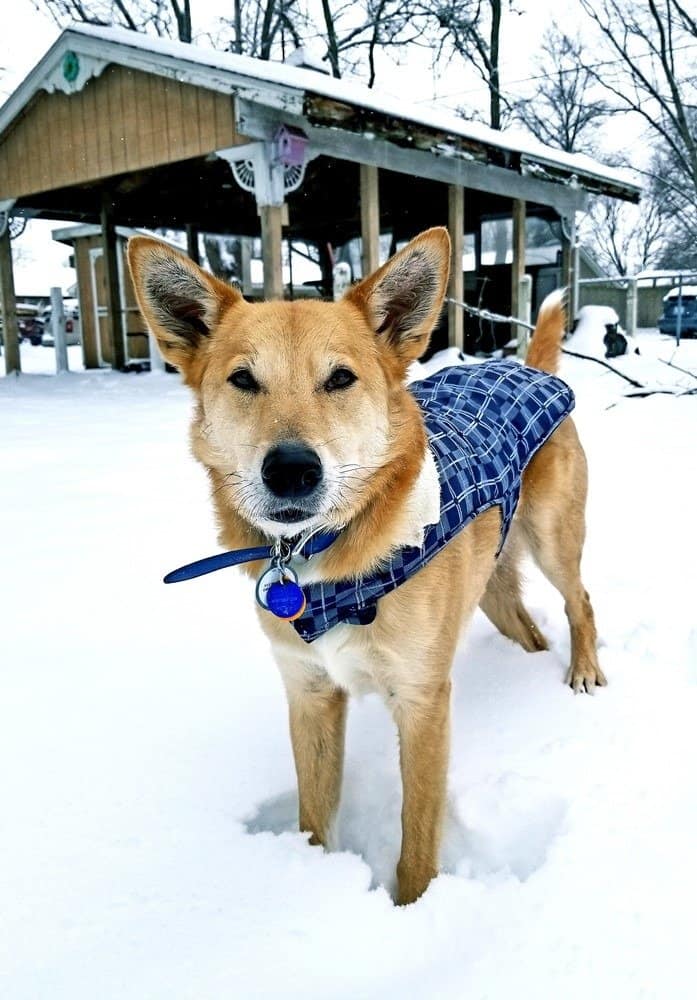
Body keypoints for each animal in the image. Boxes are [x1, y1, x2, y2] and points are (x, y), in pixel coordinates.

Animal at [128, 229, 608, 908]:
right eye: (243, 379)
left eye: (341, 378)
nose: (292, 470)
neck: (324, 557)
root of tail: (527, 366)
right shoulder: (309, 694)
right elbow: (313, 815)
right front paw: (307, 876)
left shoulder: (422, 701)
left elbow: (418, 836)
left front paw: (413, 908)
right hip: (490, 589)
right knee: (530, 628)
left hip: (552, 539)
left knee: (580, 600)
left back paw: (584, 671)